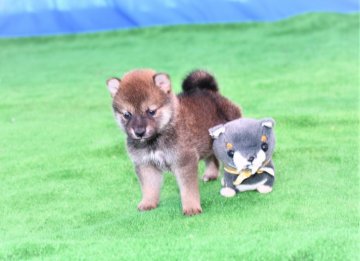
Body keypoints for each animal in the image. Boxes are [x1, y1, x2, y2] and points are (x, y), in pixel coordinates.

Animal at [107, 69, 242, 215]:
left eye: (151, 111)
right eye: (127, 115)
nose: (139, 132)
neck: (157, 138)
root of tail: (211, 92)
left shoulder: (184, 161)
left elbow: (188, 190)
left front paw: (191, 207)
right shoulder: (146, 165)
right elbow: (149, 188)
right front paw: (148, 203)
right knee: (211, 157)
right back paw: (210, 175)